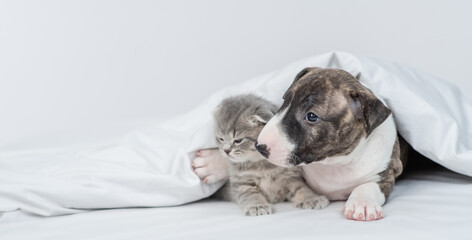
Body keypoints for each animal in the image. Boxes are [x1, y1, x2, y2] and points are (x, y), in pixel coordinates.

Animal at [256, 67, 408, 221]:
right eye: (284, 101)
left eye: (312, 116)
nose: (260, 147)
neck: (335, 163)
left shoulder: (387, 174)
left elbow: (367, 186)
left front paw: (362, 204)